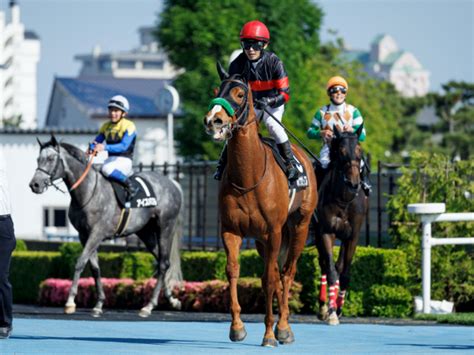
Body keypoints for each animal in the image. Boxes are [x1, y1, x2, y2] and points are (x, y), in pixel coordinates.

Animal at [28, 136, 182, 318]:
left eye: (51, 159)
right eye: (38, 159)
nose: (35, 184)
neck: (88, 192)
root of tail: (172, 183)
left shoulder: (97, 233)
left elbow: (80, 262)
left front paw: (70, 302)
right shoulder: (84, 235)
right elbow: (94, 267)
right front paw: (99, 303)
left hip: (165, 227)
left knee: (164, 263)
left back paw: (149, 305)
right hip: (145, 233)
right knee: (162, 262)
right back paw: (171, 299)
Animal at [203, 67, 316, 348]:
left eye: (239, 93)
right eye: (217, 90)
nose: (213, 120)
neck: (248, 176)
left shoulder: (273, 231)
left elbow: (269, 280)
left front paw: (269, 334)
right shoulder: (232, 231)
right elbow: (233, 271)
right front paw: (237, 327)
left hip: (299, 226)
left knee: (286, 272)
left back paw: (284, 328)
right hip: (261, 241)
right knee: (277, 271)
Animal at [316, 125, 368, 326]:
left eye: (359, 150)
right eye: (341, 151)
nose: (354, 183)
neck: (344, 200)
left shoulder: (352, 235)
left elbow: (344, 273)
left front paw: (339, 308)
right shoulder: (326, 232)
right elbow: (330, 271)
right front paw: (331, 311)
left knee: (338, 266)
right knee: (324, 265)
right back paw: (324, 307)